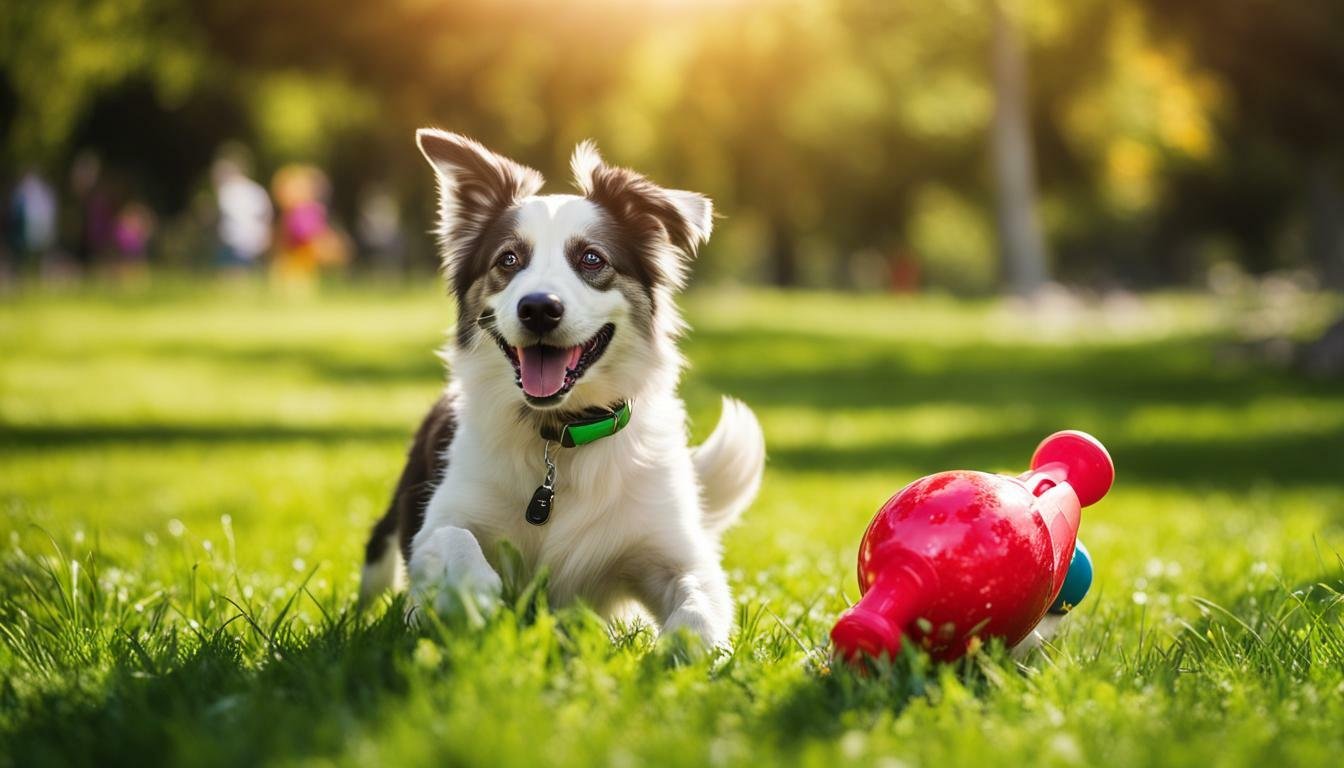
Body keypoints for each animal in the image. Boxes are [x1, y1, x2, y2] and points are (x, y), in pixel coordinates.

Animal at [360, 132, 768, 648]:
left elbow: (700, 603)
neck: (558, 433)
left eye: (591, 259)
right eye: (508, 259)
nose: (538, 307)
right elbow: (452, 540)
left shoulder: (672, 549)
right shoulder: (438, 519)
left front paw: (682, 650)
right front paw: (475, 594)